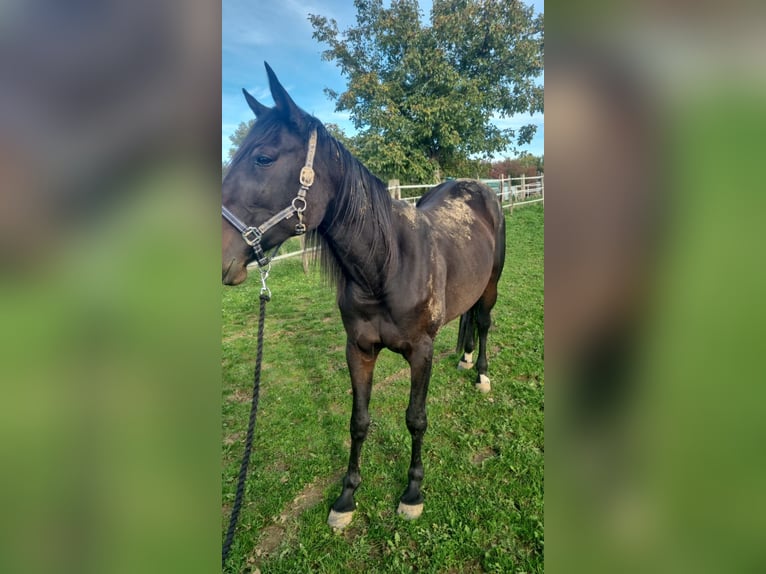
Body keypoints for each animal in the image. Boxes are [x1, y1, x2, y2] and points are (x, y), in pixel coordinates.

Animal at [222, 63, 506, 530]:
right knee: (466, 320)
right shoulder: (358, 349)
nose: (219, 255)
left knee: (481, 323)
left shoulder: (421, 352)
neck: (386, 267)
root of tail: (480, 188)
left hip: (491, 286)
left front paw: (412, 493)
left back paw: (480, 373)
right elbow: (358, 421)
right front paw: (346, 498)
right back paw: (464, 358)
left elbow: (416, 419)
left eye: (264, 158)